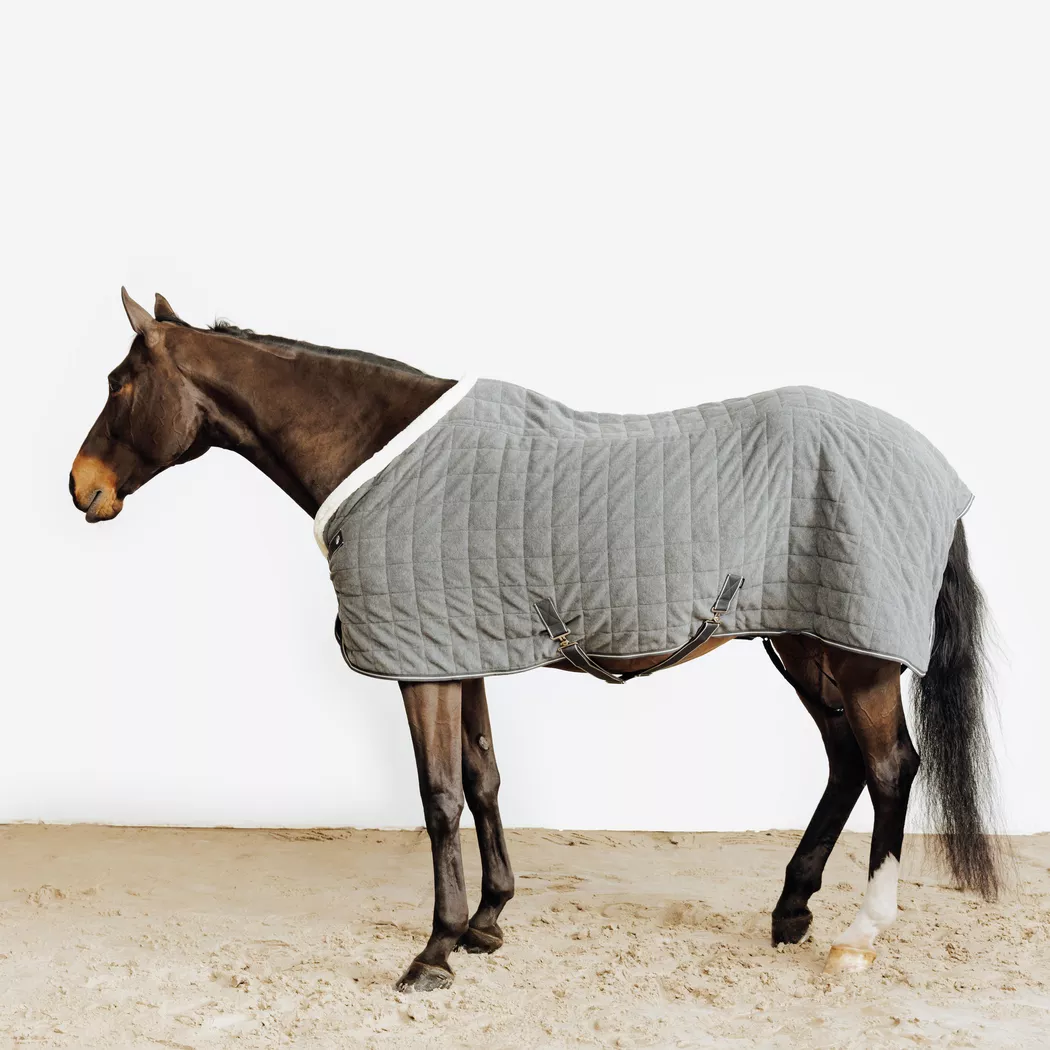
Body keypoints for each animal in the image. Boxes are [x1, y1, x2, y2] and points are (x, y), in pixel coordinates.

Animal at [70, 289, 1002, 993]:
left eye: (120, 384)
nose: (83, 487)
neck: (379, 450)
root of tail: (935, 466)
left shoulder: (422, 667)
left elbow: (439, 795)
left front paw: (435, 950)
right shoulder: (456, 650)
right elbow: (483, 779)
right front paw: (487, 922)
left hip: (860, 659)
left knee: (890, 770)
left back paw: (858, 936)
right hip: (809, 644)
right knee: (846, 763)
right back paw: (792, 912)